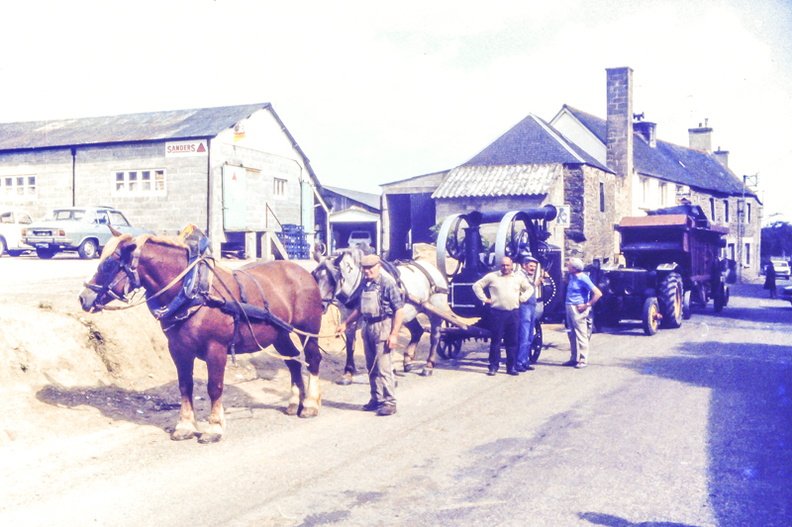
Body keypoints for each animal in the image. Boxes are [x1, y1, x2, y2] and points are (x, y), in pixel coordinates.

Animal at [79, 233, 324, 444]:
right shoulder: (178, 350)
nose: (83, 298)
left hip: (308, 329)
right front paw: (185, 426)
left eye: (108, 265)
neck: (194, 291)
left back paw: (310, 405)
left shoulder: (216, 349)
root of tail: (303, 271)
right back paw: (294, 402)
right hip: (279, 333)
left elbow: (214, 387)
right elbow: (185, 386)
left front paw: (214, 428)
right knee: (293, 361)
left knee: (312, 359)